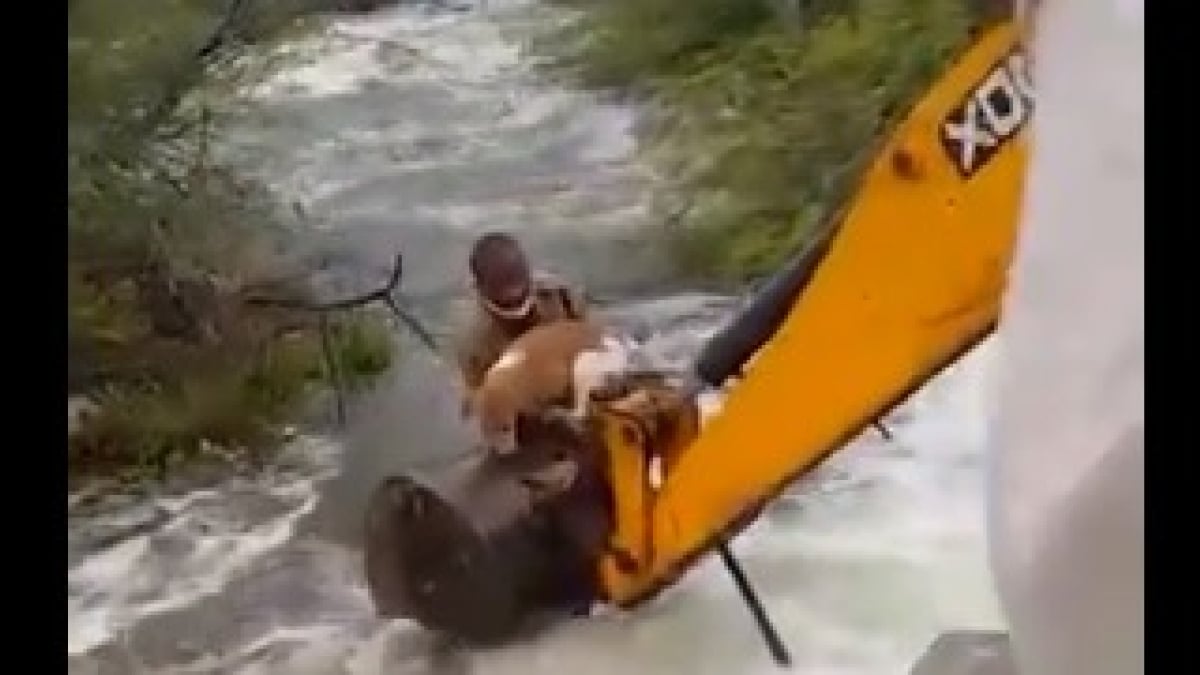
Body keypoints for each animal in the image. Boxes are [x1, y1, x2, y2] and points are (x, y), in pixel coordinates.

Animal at [465, 319, 638, 454]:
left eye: (506, 428)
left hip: (581, 363)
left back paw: (558, 413)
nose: (504, 453)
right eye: (486, 430)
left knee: (578, 412)